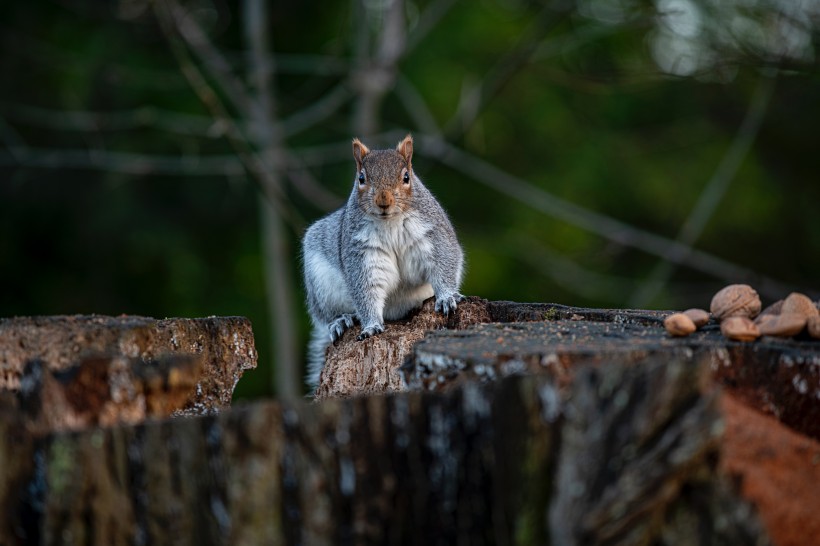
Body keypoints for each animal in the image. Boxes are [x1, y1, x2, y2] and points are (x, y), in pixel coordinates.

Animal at [302, 133, 468, 384]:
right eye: (361, 178)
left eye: (406, 177)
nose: (384, 201)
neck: (389, 221)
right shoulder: (361, 253)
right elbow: (366, 289)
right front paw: (371, 326)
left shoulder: (433, 235)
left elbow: (443, 264)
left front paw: (447, 298)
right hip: (320, 282)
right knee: (326, 314)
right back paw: (342, 320)